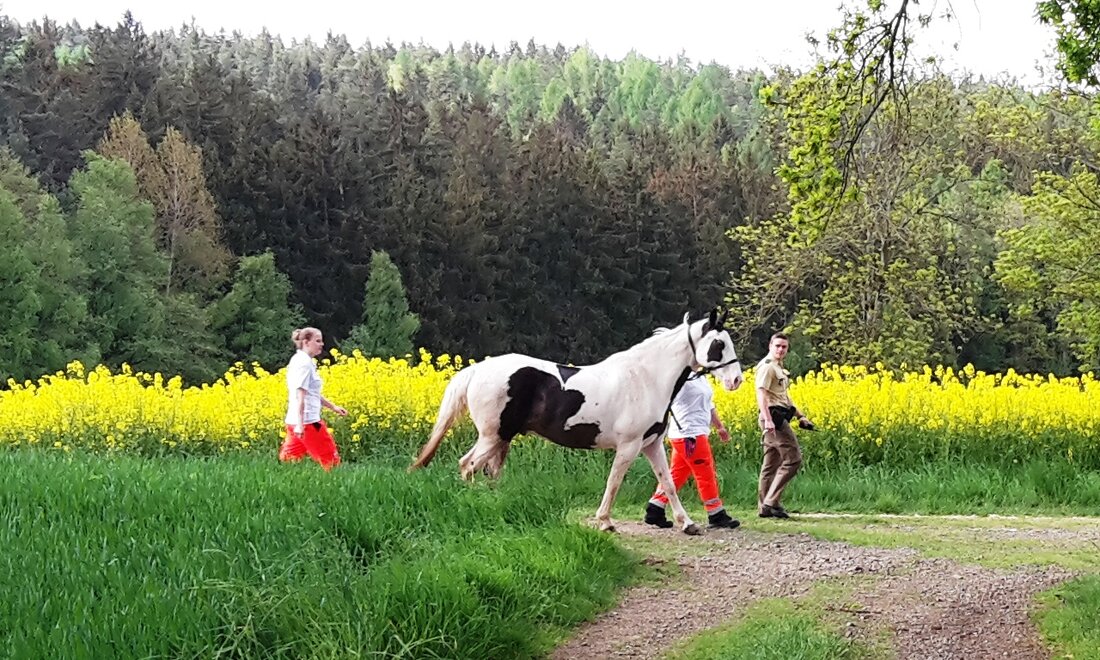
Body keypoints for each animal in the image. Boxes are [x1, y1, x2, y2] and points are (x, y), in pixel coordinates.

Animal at [408, 308, 744, 535]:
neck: (645, 378)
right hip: (492, 435)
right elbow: (614, 481)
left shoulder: (652, 445)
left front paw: (687, 523)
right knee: (467, 466)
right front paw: (605, 522)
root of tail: (478, 369)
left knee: (485, 470)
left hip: (499, 438)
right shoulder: (629, 445)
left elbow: (669, 483)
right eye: (719, 344)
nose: (737, 380)